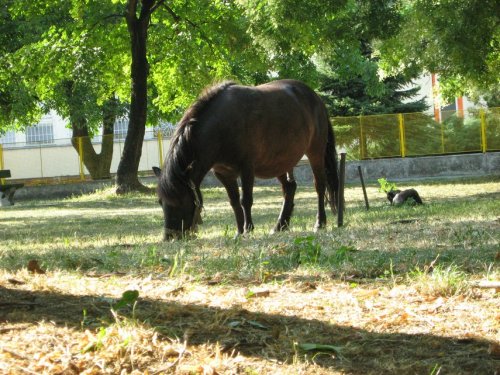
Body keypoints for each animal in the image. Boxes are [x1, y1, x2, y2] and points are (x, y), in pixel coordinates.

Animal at [152, 79, 340, 241]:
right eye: (160, 202)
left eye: (181, 201)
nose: (169, 237)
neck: (221, 126)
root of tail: (316, 98)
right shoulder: (224, 173)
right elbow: (234, 202)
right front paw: (239, 230)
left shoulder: (247, 168)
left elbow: (246, 200)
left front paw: (248, 229)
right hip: (279, 161)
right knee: (289, 188)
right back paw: (280, 225)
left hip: (315, 152)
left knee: (319, 186)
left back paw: (320, 223)